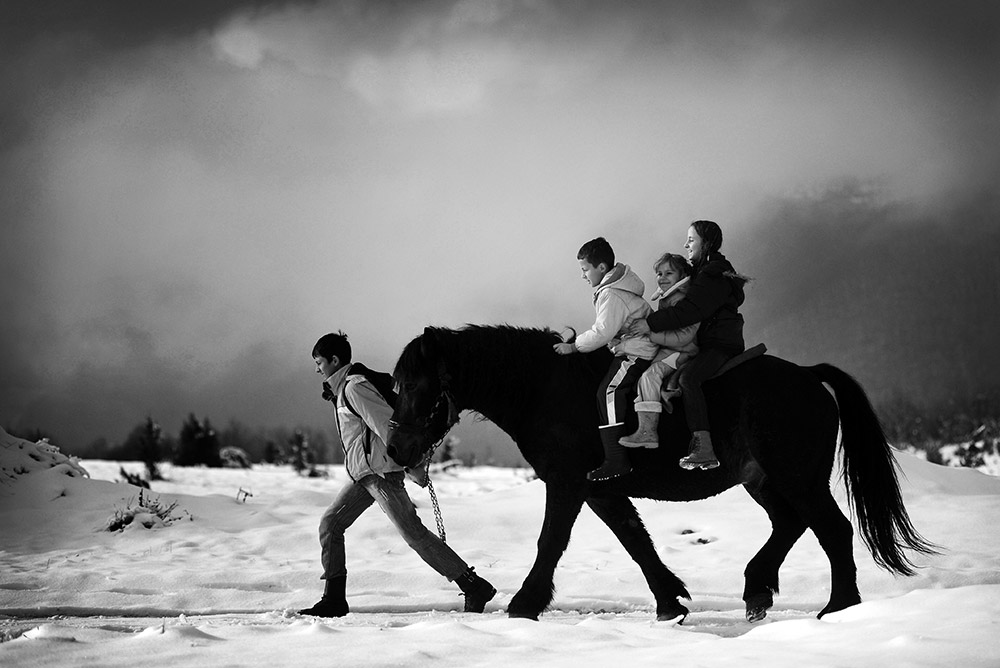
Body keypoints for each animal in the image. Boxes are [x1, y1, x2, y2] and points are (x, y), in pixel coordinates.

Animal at [384, 326, 936, 624]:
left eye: (414, 385)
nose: (394, 448)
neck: (544, 389)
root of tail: (808, 376)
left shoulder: (567, 483)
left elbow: (551, 542)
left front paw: (524, 604)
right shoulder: (600, 488)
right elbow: (636, 541)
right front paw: (670, 601)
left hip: (797, 477)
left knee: (833, 530)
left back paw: (839, 607)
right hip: (764, 480)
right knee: (791, 525)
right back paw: (758, 589)